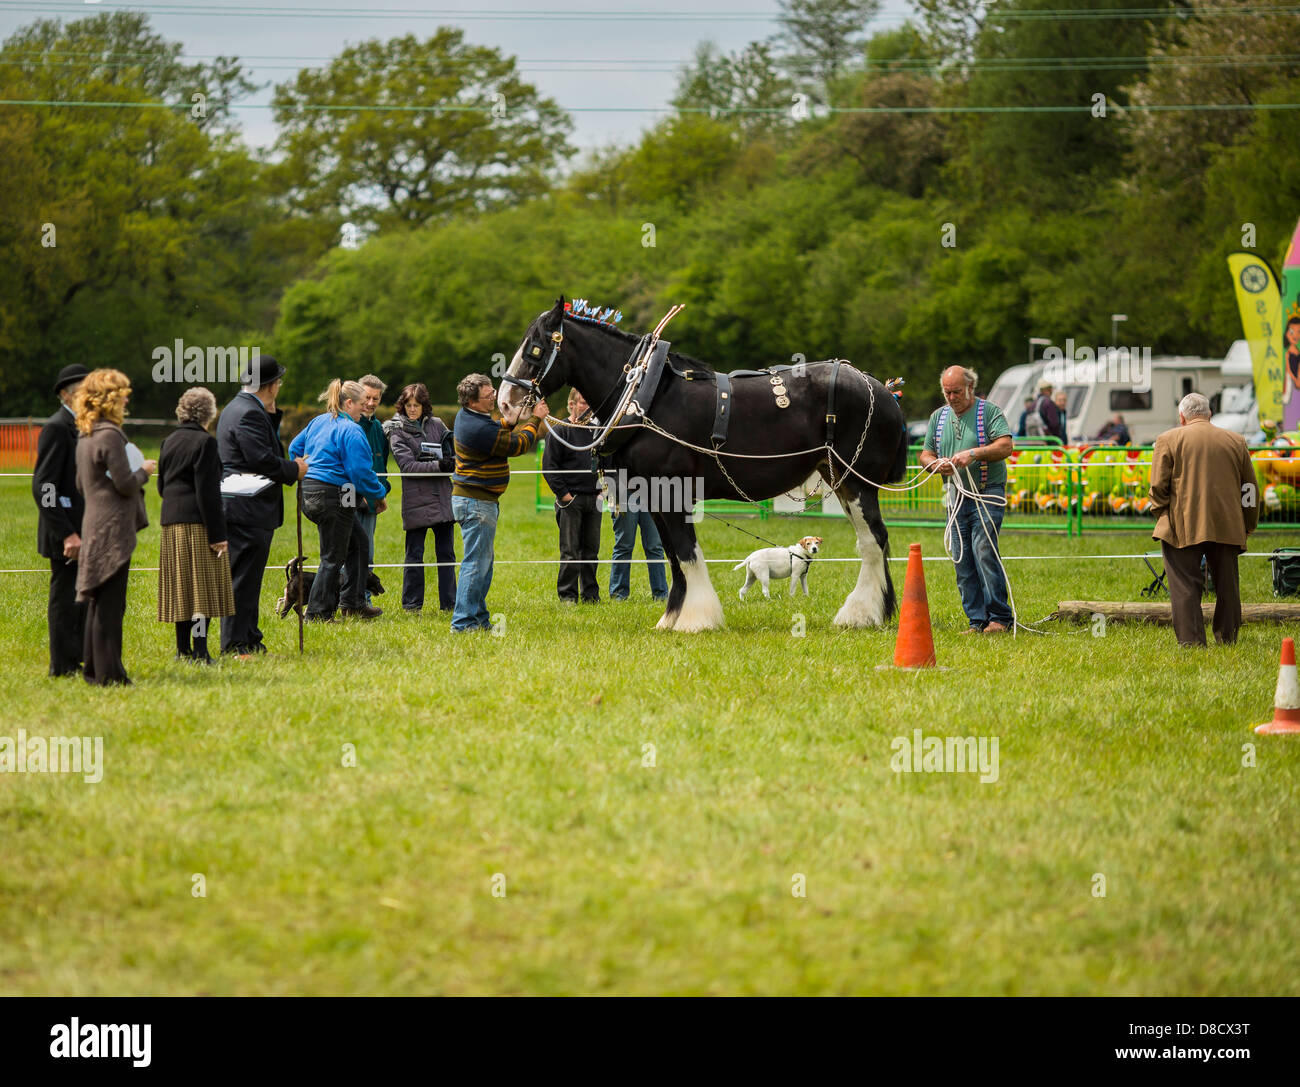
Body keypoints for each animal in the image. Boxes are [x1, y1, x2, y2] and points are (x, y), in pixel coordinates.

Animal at [499, 297, 910, 632]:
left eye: (535, 348)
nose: (504, 402)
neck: (647, 394)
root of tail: (880, 388)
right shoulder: (654, 494)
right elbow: (673, 556)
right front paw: (672, 616)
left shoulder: (674, 490)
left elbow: (686, 552)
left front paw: (696, 619)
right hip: (839, 478)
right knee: (874, 540)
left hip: (856, 481)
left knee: (872, 541)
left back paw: (860, 614)